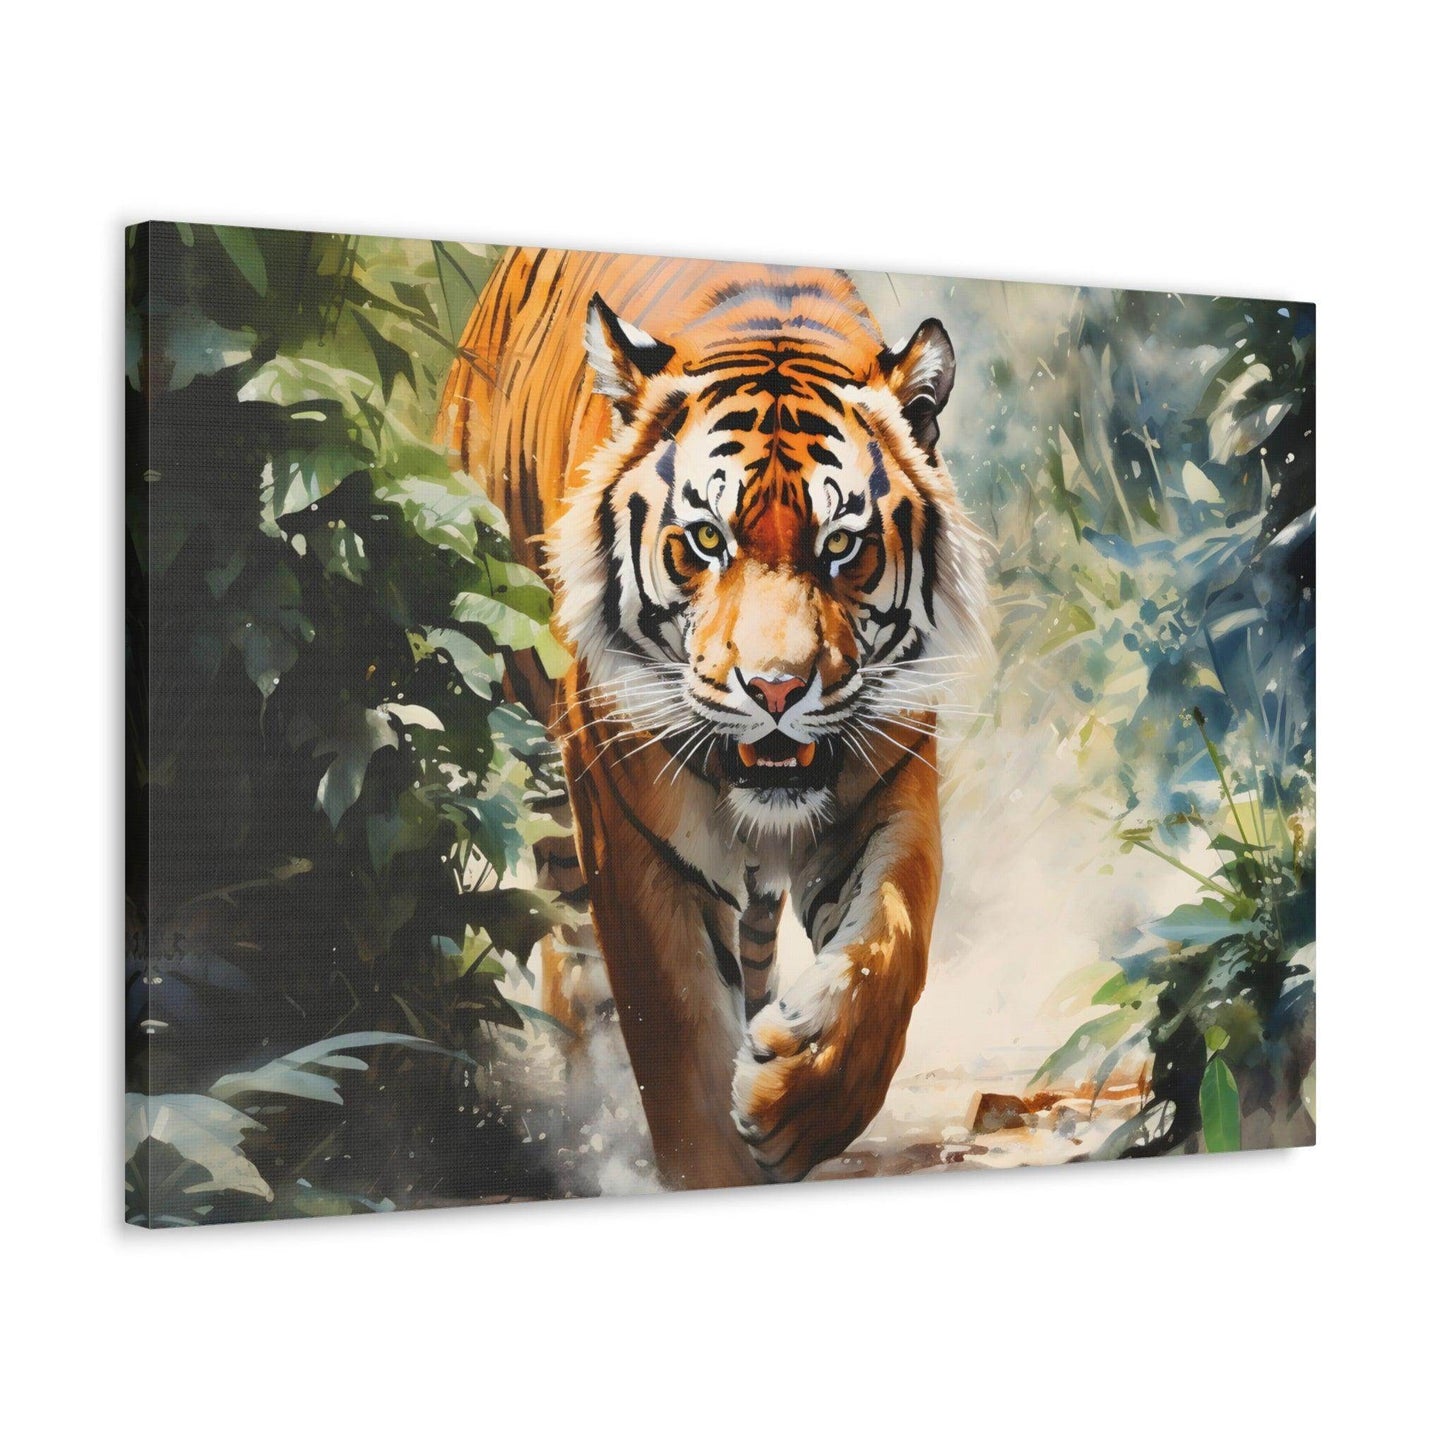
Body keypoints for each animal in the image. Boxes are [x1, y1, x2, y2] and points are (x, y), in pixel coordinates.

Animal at [438, 247, 988, 1189]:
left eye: (841, 545)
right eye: (704, 540)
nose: (775, 689)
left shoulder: (888, 778)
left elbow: (889, 946)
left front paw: (793, 1102)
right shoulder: (632, 829)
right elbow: (678, 1039)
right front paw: (714, 1159)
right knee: (574, 967)